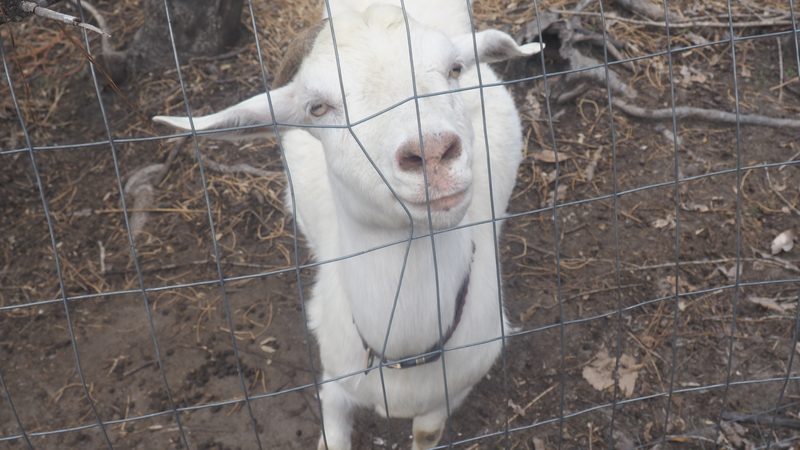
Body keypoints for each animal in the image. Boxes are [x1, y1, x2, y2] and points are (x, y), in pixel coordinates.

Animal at [153, 2, 542, 449]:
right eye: (317, 108)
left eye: (456, 69)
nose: (431, 152)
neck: (405, 351)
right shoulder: (335, 380)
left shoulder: (455, 388)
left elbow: (426, 432)